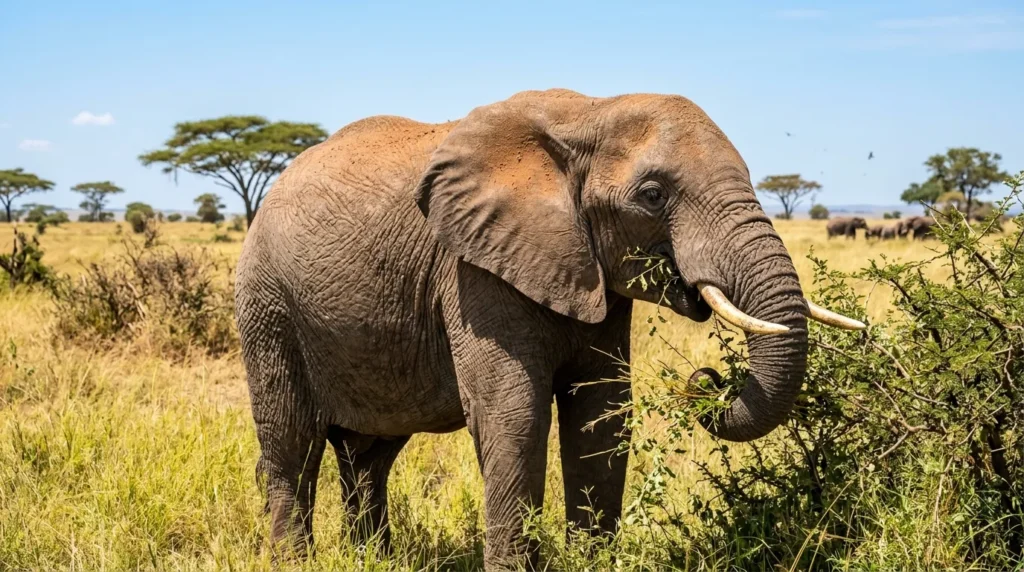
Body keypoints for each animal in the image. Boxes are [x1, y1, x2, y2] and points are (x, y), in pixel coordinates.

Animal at [234, 89, 863, 570]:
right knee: (292, 443)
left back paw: (376, 560)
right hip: (268, 306)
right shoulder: (471, 269)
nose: (707, 380)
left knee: (369, 456)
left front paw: (593, 562)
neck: (590, 113)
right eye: (653, 195)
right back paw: (294, 561)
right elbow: (514, 413)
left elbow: (602, 413)